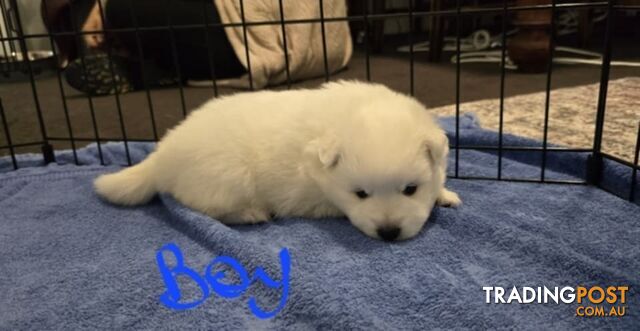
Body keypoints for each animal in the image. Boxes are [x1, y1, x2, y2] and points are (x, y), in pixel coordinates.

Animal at [95, 80, 460, 241]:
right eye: (360, 194)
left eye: (411, 189)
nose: (388, 232)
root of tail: (163, 154)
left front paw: (446, 195)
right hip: (227, 179)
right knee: (205, 207)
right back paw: (252, 213)